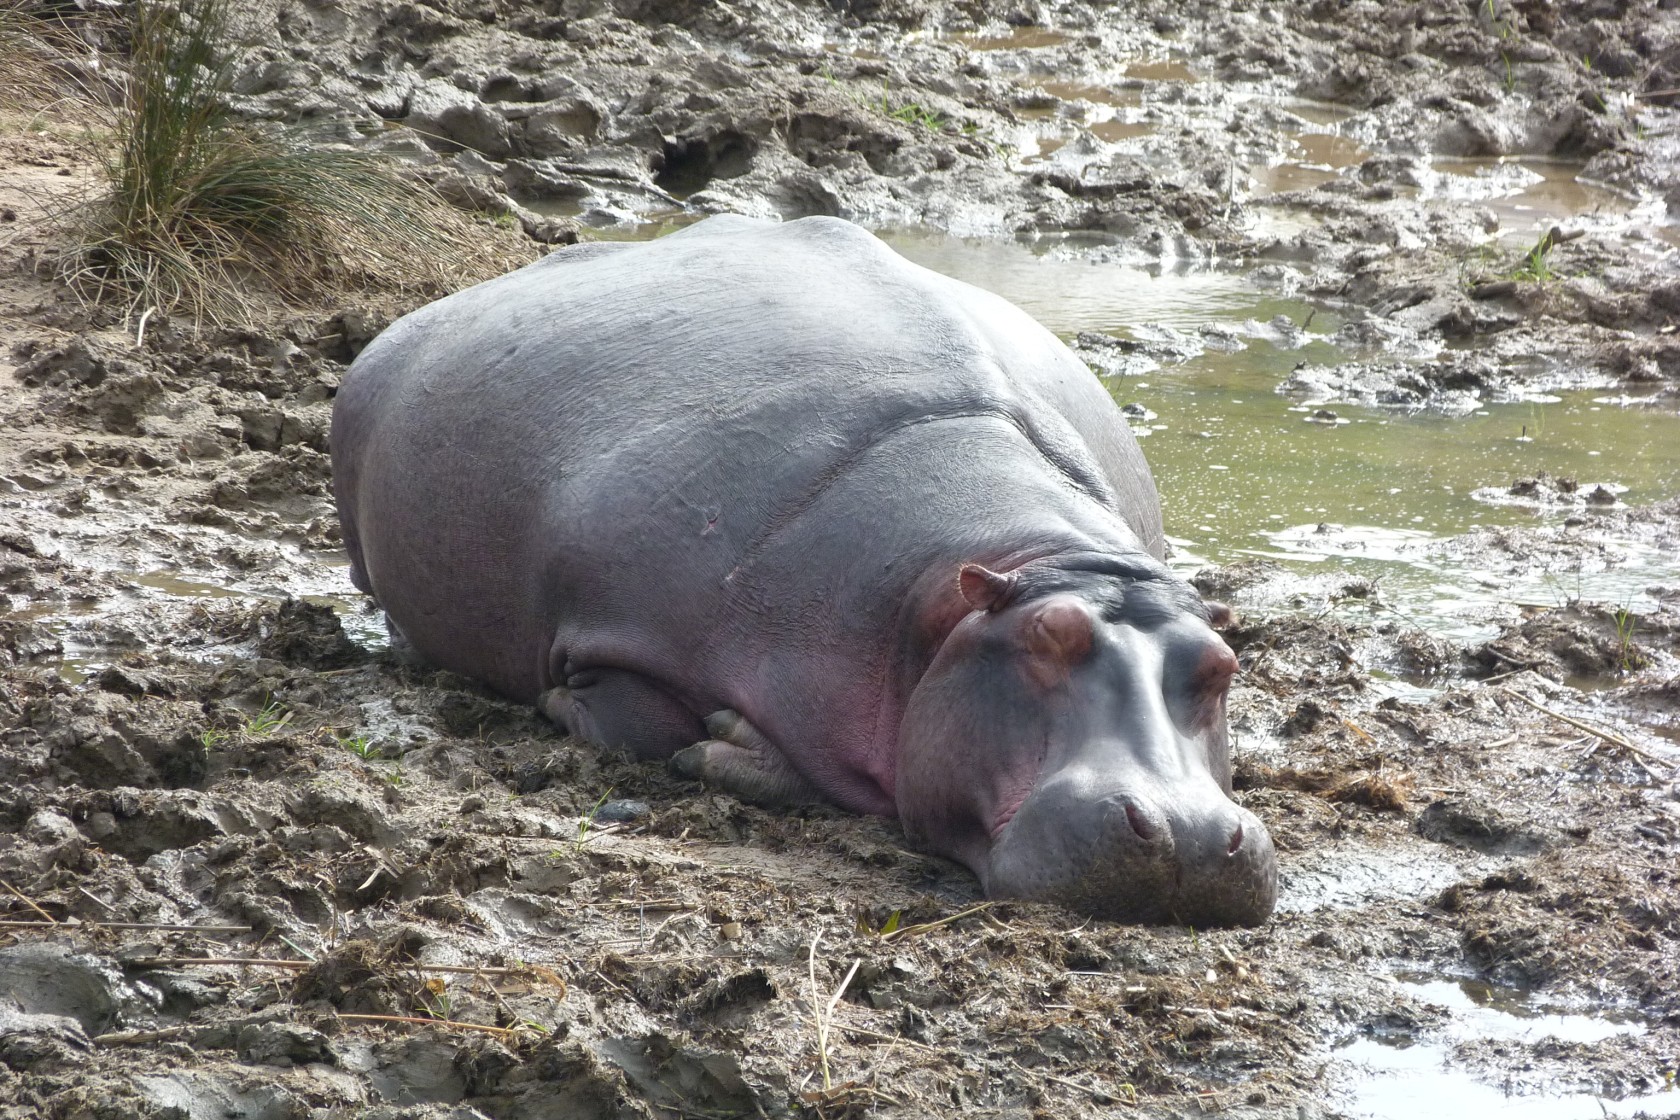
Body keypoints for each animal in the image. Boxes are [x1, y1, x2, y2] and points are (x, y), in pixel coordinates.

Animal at [331, 215, 1277, 926]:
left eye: (1222, 667)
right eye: (1047, 639)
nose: (1191, 836)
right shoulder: (618, 633)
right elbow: (645, 724)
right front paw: (697, 733)